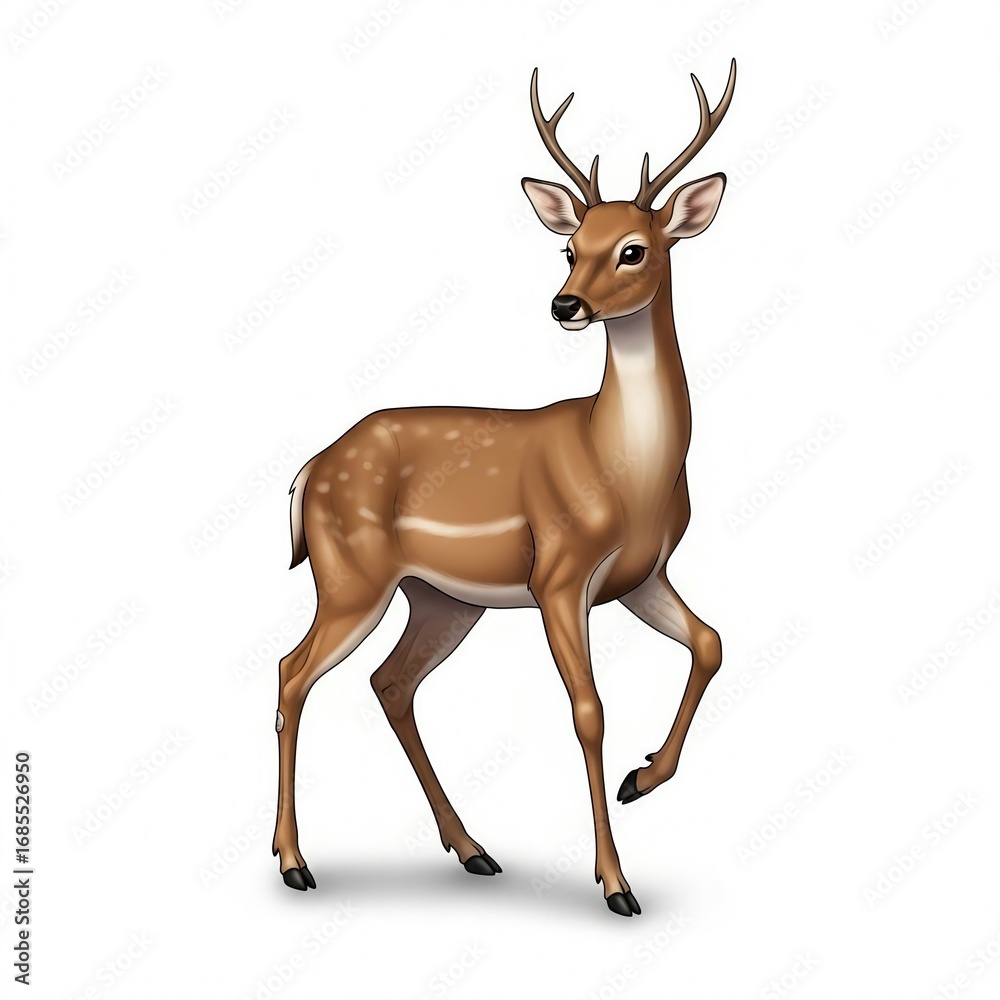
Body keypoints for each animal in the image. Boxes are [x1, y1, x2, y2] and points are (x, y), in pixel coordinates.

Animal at [272, 60, 737, 916]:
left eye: (633, 249)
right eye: (568, 247)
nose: (565, 305)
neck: (625, 470)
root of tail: (310, 469)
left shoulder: (642, 576)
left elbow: (712, 642)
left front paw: (641, 780)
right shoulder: (559, 572)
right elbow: (589, 712)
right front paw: (616, 883)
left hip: (441, 598)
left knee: (390, 682)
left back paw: (473, 849)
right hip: (350, 573)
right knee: (292, 673)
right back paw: (294, 863)